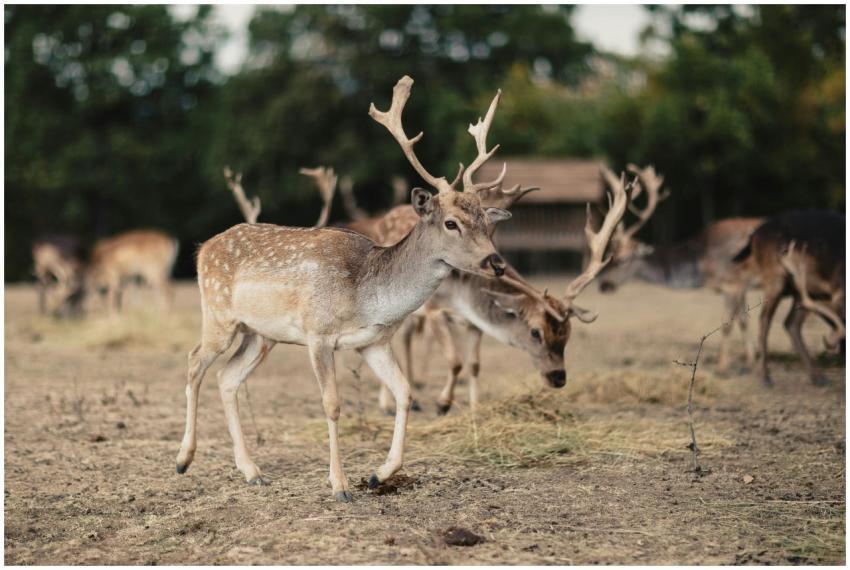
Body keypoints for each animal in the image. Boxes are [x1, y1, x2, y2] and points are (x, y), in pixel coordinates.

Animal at [175, 75, 513, 502]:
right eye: (451, 223)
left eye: (486, 221)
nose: (496, 263)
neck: (368, 296)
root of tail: (203, 248)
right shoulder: (318, 334)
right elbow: (333, 404)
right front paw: (340, 485)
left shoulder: (374, 341)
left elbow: (405, 393)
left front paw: (379, 474)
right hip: (218, 314)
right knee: (193, 362)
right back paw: (183, 459)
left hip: (260, 335)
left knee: (227, 378)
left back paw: (252, 471)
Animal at [596, 164, 764, 372]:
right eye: (610, 255)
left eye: (622, 259)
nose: (603, 284)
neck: (703, 264)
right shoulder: (742, 284)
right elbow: (744, 320)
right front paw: (751, 362)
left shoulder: (731, 282)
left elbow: (728, 325)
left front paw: (722, 366)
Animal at [732, 210, 845, 386]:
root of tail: (754, 235)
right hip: (775, 278)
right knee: (765, 319)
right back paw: (764, 375)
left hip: (799, 288)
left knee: (791, 323)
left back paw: (817, 376)